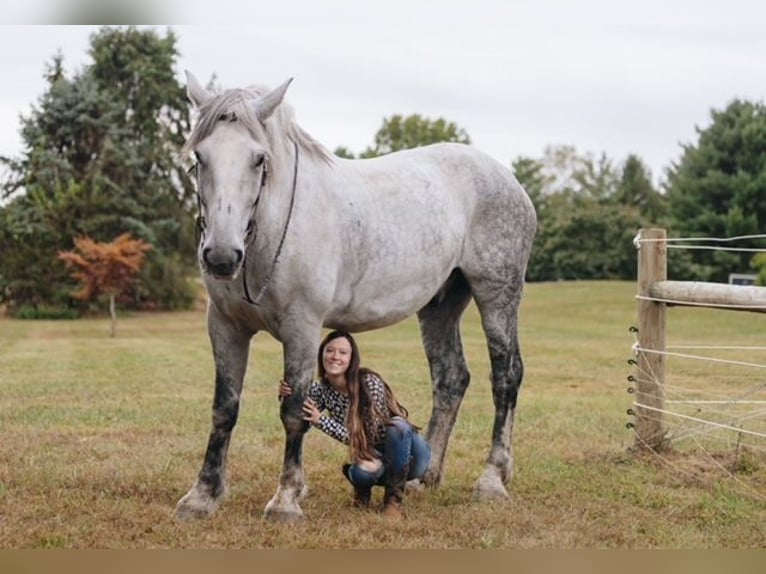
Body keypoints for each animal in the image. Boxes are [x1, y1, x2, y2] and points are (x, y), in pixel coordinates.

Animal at [175, 73, 536, 520]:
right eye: (200, 157)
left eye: (258, 159)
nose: (222, 257)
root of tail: (509, 179)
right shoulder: (225, 327)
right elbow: (224, 409)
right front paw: (202, 495)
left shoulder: (302, 327)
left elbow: (294, 413)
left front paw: (286, 499)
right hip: (440, 305)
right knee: (451, 378)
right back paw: (422, 477)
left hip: (497, 294)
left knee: (506, 377)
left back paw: (492, 479)